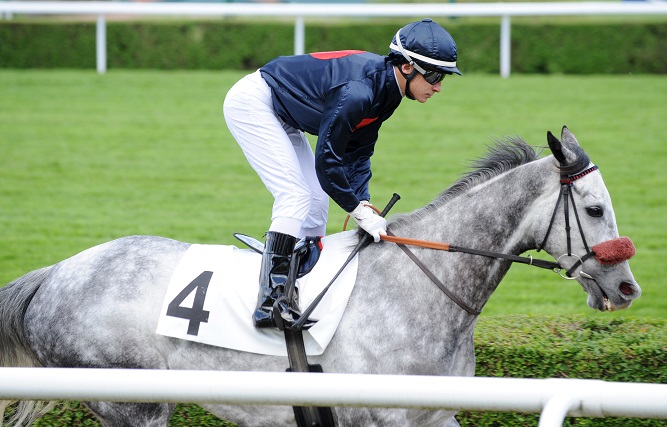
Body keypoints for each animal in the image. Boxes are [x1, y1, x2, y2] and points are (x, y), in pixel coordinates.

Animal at [2, 128, 644, 427]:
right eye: (594, 210)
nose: (628, 288)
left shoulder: (434, 412)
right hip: (131, 405)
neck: (425, 284)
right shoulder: (378, 416)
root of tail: (55, 273)